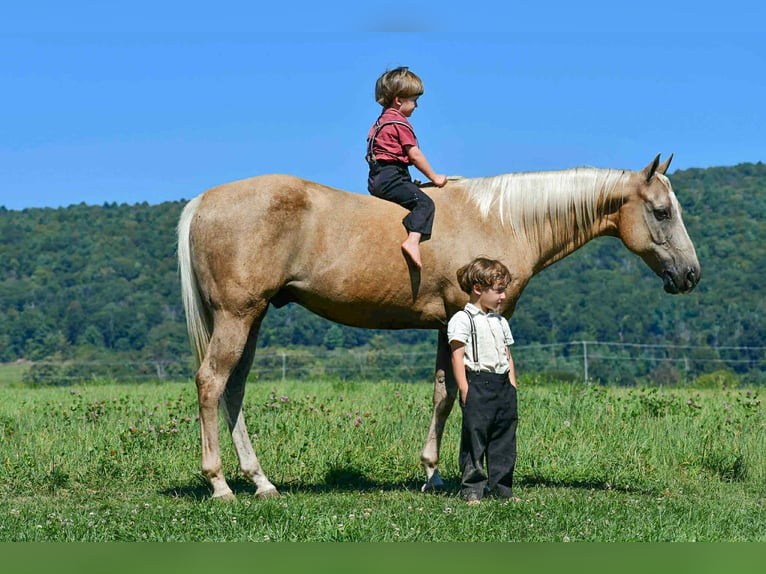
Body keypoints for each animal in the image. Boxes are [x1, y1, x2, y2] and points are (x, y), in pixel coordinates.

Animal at [177, 153, 700, 500]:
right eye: (661, 211)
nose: (691, 275)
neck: (503, 219)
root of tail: (201, 201)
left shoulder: (444, 325)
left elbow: (443, 394)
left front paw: (433, 473)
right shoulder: (466, 319)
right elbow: (463, 394)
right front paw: (465, 475)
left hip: (252, 317)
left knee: (234, 389)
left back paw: (260, 481)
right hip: (237, 316)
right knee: (212, 383)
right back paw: (220, 484)